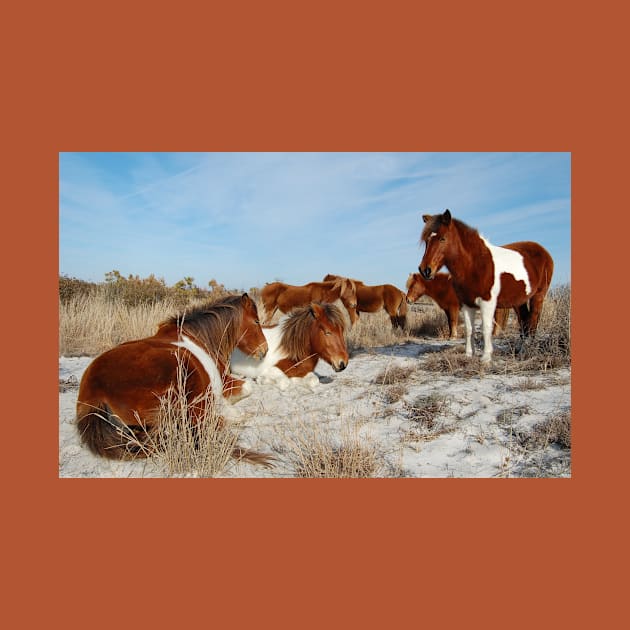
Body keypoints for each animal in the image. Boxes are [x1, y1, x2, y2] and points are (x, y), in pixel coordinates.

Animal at [75, 294, 272, 466]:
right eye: (256, 321)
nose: (265, 350)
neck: (198, 337)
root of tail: (94, 392)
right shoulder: (224, 382)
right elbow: (248, 387)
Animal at [422, 210, 556, 362]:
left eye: (443, 239)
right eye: (426, 240)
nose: (425, 270)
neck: (474, 265)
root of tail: (544, 252)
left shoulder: (487, 303)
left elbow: (486, 328)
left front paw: (486, 358)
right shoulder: (467, 304)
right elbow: (469, 329)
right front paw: (469, 355)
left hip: (538, 295)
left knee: (533, 320)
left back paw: (528, 350)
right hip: (519, 301)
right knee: (524, 322)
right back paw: (520, 350)